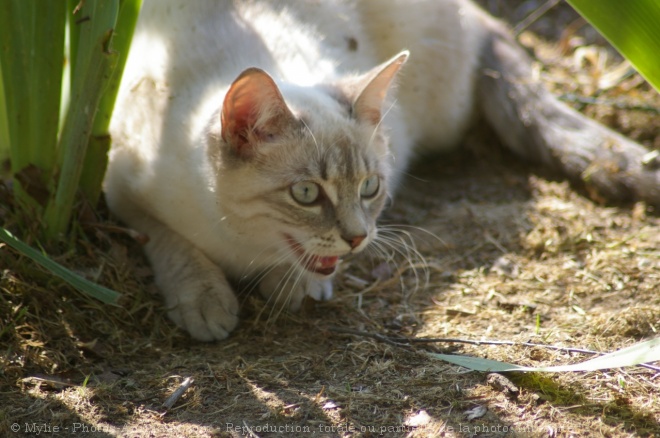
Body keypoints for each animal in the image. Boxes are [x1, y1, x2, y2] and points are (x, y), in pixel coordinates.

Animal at [104, 0, 660, 340]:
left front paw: (296, 285)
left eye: (370, 187)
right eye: (306, 194)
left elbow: (296, 268)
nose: (355, 238)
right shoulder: (117, 186)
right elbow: (173, 244)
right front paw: (205, 301)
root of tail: (480, 16)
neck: (241, 245)